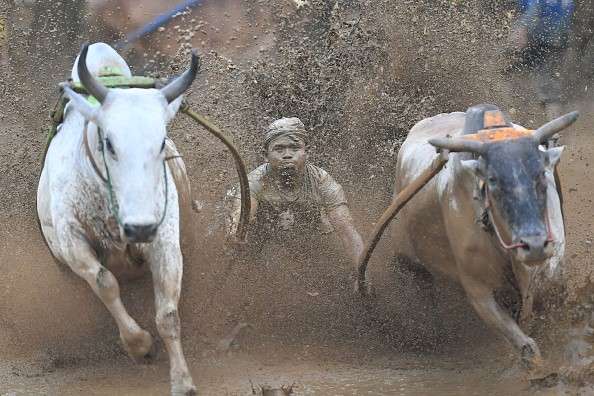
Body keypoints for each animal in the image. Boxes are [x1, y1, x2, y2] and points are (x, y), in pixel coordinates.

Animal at [37, 41, 199, 394]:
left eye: (161, 141)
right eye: (109, 142)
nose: (139, 228)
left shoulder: (165, 243)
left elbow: (168, 315)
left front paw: (182, 381)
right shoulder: (71, 242)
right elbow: (105, 283)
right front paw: (139, 345)